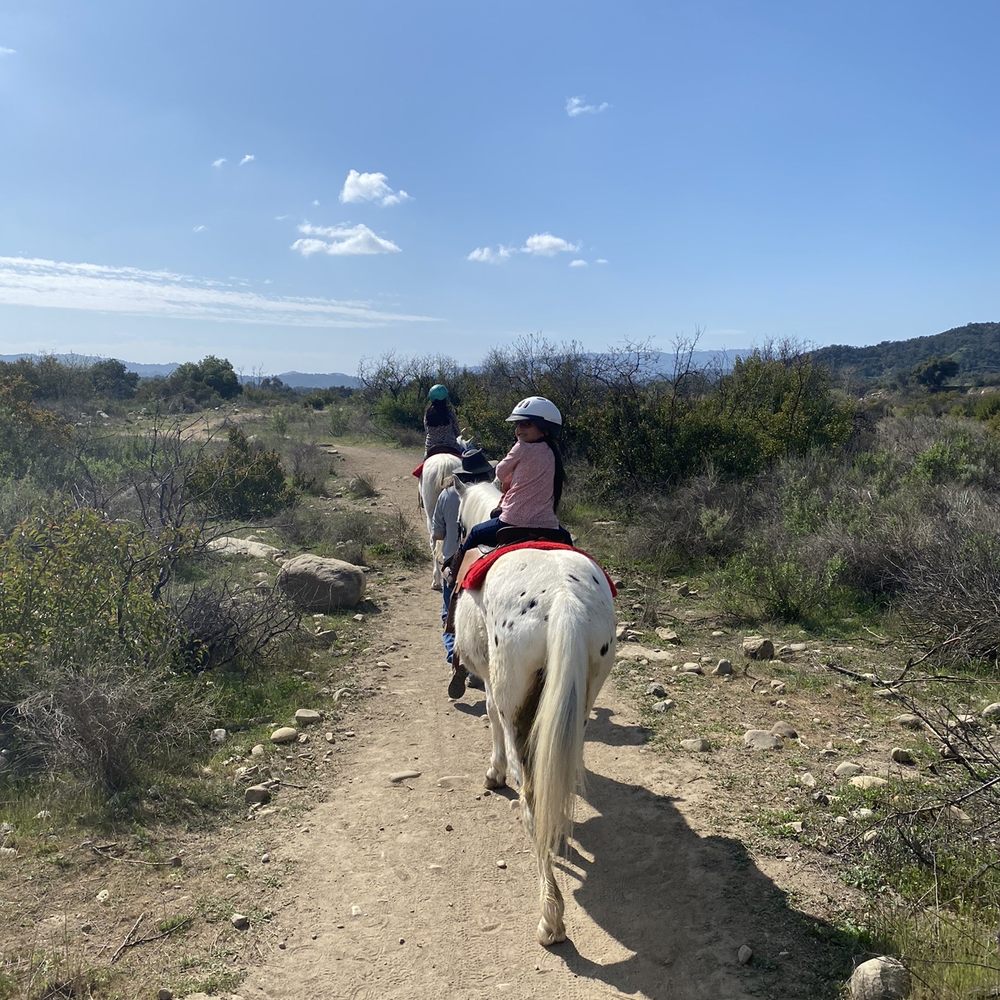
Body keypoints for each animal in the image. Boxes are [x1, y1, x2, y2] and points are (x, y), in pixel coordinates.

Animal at [451, 478, 618, 946]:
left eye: (457, 522)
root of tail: (564, 601)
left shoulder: (493, 686)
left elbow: (490, 718)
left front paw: (493, 774)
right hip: (583, 693)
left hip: (514, 697)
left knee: (530, 795)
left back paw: (550, 916)